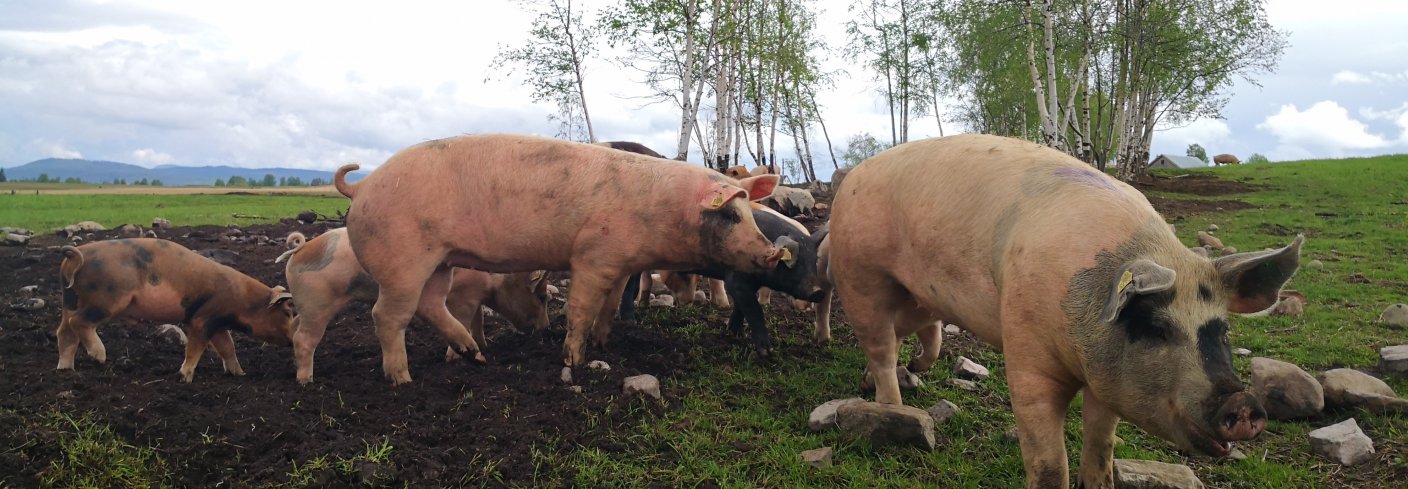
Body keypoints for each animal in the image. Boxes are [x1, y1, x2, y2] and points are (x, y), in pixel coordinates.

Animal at [336, 135, 788, 386]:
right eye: (730, 214)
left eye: (749, 213)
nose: (771, 251)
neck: (662, 212)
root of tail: (361, 188)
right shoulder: (592, 255)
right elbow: (582, 307)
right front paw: (575, 360)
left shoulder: (622, 263)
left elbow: (610, 303)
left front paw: (605, 341)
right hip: (404, 261)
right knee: (387, 315)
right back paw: (403, 379)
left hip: (441, 261)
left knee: (431, 304)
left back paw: (475, 356)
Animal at [827, 133, 1300, 487]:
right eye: (1155, 327)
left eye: (1222, 331)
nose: (1242, 402)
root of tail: (854, 174)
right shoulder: (1027, 356)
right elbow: (1050, 463)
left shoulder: (1107, 380)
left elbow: (1101, 444)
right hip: (860, 276)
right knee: (880, 345)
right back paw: (894, 404)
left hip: (921, 294)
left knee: (916, 334)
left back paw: (907, 371)